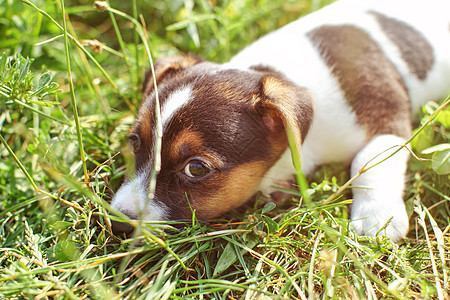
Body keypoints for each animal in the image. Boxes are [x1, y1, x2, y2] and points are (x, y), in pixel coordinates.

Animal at [110, 0, 450, 241]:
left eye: (196, 169)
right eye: (135, 142)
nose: (116, 224)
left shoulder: (387, 115)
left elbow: (368, 159)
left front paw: (376, 216)